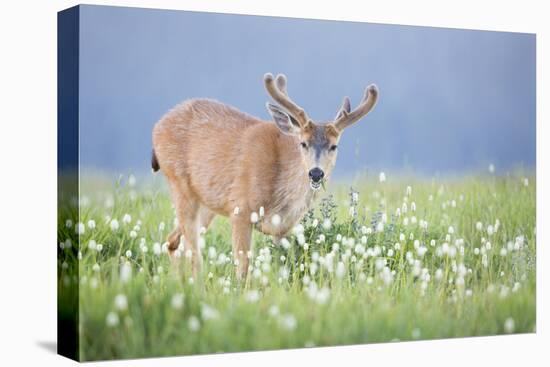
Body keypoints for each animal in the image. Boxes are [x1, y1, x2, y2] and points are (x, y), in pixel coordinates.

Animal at [152, 73, 380, 278]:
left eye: (334, 146)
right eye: (303, 143)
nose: (316, 173)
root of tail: (157, 127)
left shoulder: (283, 228)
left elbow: (285, 265)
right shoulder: (240, 210)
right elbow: (243, 269)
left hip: (207, 204)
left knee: (173, 242)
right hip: (179, 184)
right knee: (193, 254)